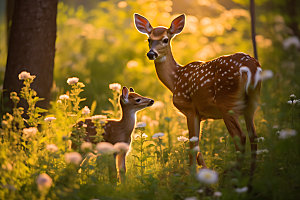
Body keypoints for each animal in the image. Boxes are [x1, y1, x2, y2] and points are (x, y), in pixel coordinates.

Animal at [135, 13, 262, 168]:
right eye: (149, 39)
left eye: (165, 39)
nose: (151, 54)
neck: (175, 79)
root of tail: (250, 67)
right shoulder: (201, 114)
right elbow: (198, 149)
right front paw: (205, 171)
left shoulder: (190, 109)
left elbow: (193, 146)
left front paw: (193, 172)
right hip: (251, 102)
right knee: (253, 136)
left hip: (227, 103)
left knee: (241, 137)